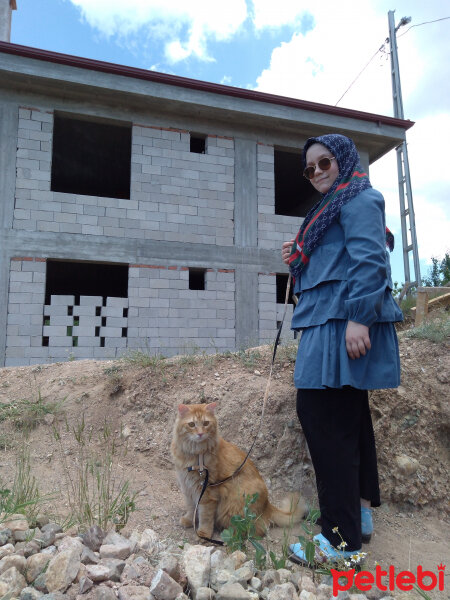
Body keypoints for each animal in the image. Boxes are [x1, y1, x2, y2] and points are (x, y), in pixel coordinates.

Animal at [172, 404, 306, 540]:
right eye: (192, 424)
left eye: (206, 423)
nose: (200, 434)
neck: (194, 453)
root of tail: (267, 504)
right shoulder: (187, 487)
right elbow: (191, 508)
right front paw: (189, 520)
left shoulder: (207, 493)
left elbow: (205, 517)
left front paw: (204, 534)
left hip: (235, 505)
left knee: (256, 530)